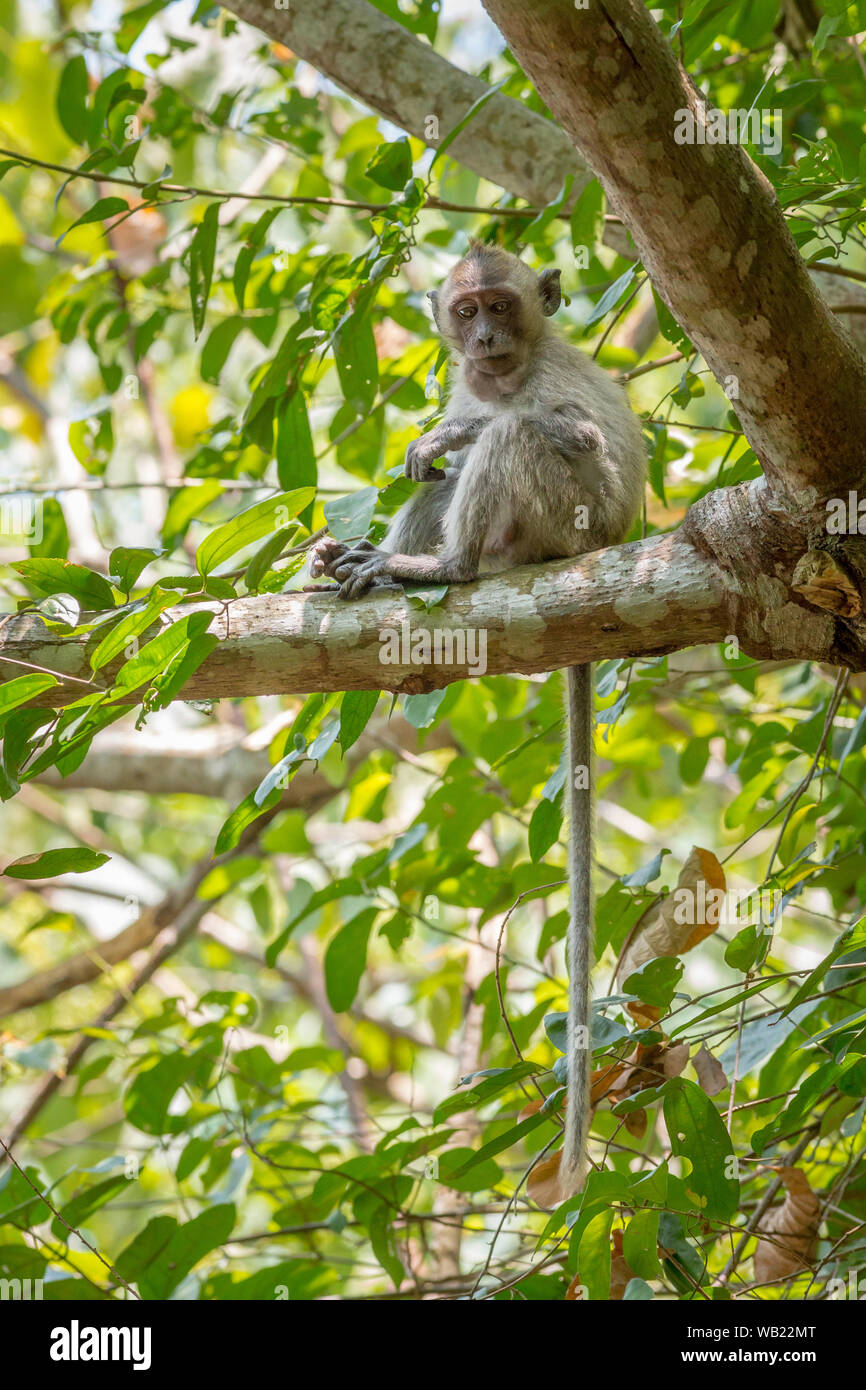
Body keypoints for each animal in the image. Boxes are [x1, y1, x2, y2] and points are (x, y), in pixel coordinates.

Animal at [309, 243, 647, 1200]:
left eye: (501, 305)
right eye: (467, 313)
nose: (487, 339)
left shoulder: (553, 392)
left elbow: (565, 432)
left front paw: (445, 435)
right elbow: (442, 450)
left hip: (571, 524)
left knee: (517, 443)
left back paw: (441, 564)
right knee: (450, 485)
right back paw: (382, 561)